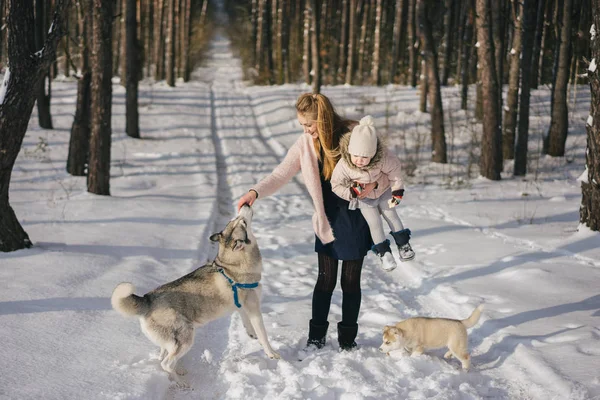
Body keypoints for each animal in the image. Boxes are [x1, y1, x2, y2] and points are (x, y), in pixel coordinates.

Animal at [111, 205, 280, 386]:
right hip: (185, 337)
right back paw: (180, 381)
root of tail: (147, 298)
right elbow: (263, 335)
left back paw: (177, 371)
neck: (233, 263)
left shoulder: (241, 304)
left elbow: (246, 320)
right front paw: (271, 353)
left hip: (169, 340)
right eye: (243, 222)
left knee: (162, 356)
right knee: (166, 363)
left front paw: (250, 333)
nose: (246, 205)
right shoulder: (254, 307)